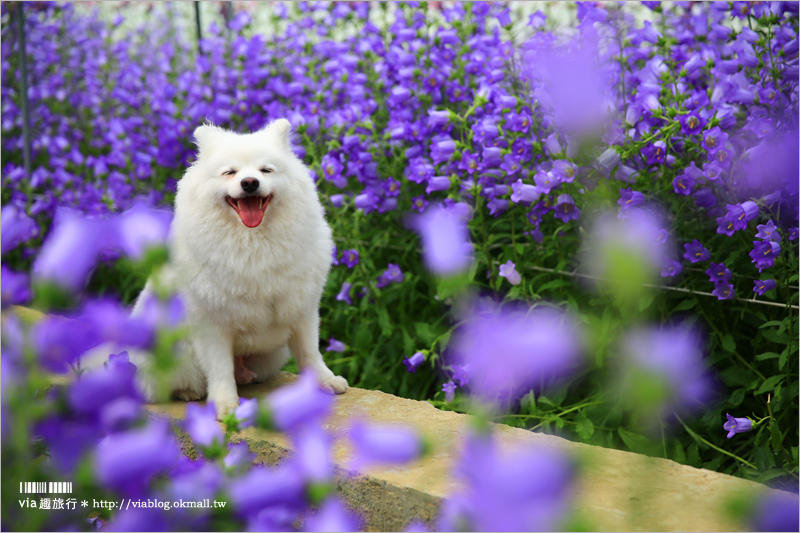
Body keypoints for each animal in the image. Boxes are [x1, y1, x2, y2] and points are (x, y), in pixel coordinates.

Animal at [129, 118, 346, 418]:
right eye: (230, 172)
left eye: (266, 170)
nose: (250, 182)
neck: (253, 243)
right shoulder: (210, 323)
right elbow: (220, 369)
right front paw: (225, 405)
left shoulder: (301, 307)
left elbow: (310, 353)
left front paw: (326, 381)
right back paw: (189, 392)